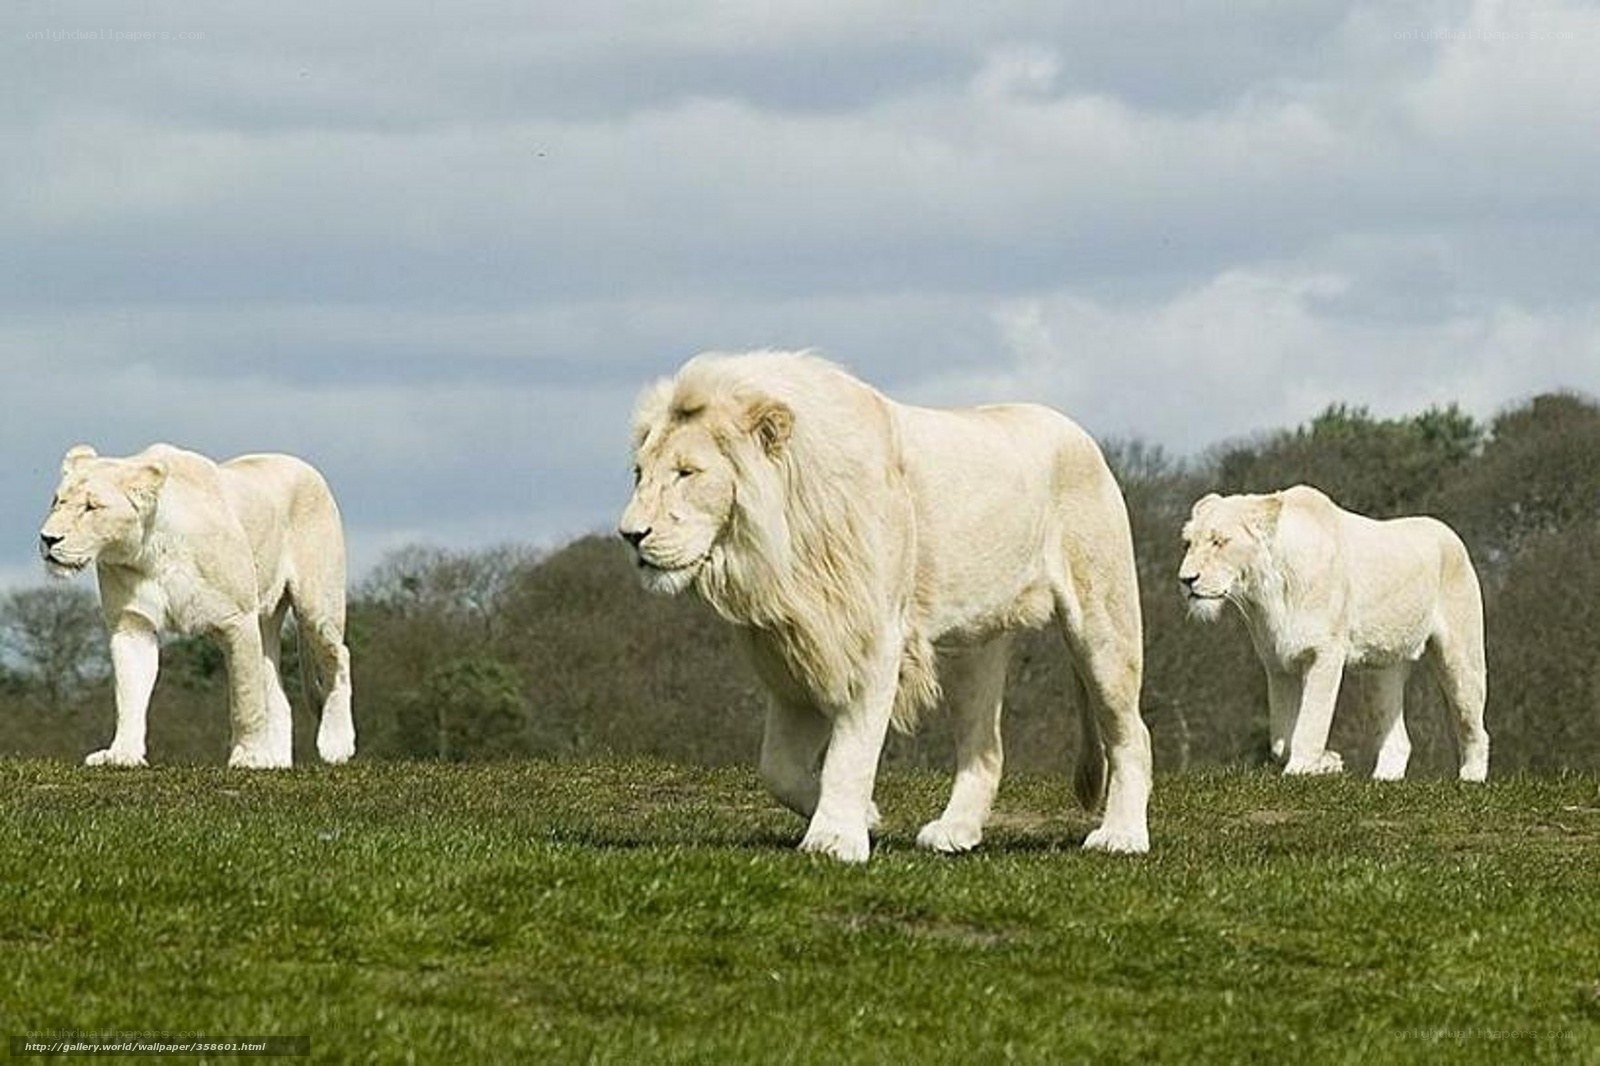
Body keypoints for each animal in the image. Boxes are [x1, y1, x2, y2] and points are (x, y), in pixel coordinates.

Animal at [39, 443, 355, 769]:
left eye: (91, 507)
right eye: (57, 502)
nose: (47, 539)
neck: (150, 550)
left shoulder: (238, 619)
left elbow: (246, 698)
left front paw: (248, 756)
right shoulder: (132, 624)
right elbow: (129, 694)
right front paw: (122, 754)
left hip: (316, 605)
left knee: (338, 656)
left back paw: (336, 744)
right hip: (265, 620)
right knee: (277, 690)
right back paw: (276, 761)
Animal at [619, 350, 1152, 863]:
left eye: (687, 473)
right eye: (640, 473)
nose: (630, 535)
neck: (776, 551)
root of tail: (1081, 436)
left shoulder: (869, 639)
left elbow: (850, 752)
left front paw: (835, 839)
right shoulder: (801, 649)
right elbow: (778, 768)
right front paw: (867, 817)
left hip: (1102, 621)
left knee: (1131, 734)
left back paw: (1121, 837)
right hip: (971, 644)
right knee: (985, 748)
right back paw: (955, 832)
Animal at [1179, 485, 1489, 781]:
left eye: (1219, 541)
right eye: (1189, 543)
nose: (1186, 580)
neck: (1267, 592)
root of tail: (1449, 533)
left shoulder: (1324, 653)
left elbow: (1311, 722)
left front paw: (1301, 770)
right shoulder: (1278, 663)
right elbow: (1281, 740)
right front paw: (1328, 763)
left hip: (1460, 656)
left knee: (1473, 722)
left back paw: (1471, 777)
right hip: (1382, 669)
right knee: (1398, 738)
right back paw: (1383, 780)